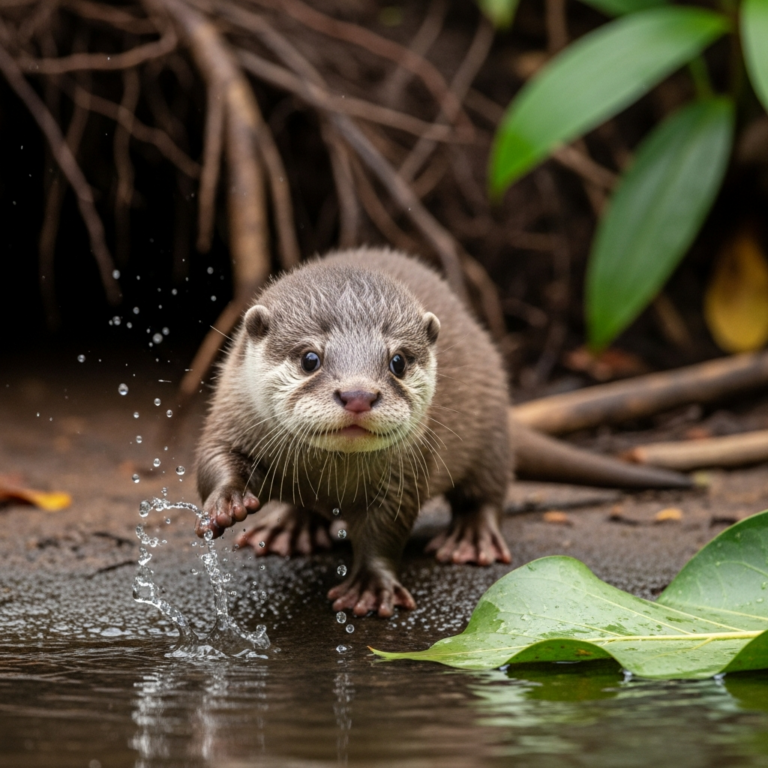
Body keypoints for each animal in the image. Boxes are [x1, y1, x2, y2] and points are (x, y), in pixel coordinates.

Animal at [195, 247, 690, 617]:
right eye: (309, 358)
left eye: (397, 361)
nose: (358, 394)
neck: (328, 477)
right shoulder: (228, 412)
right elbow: (210, 458)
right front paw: (227, 502)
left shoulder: (407, 473)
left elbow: (387, 528)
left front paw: (371, 587)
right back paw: (288, 529)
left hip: (491, 432)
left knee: (487, 492)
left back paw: (470, 540)